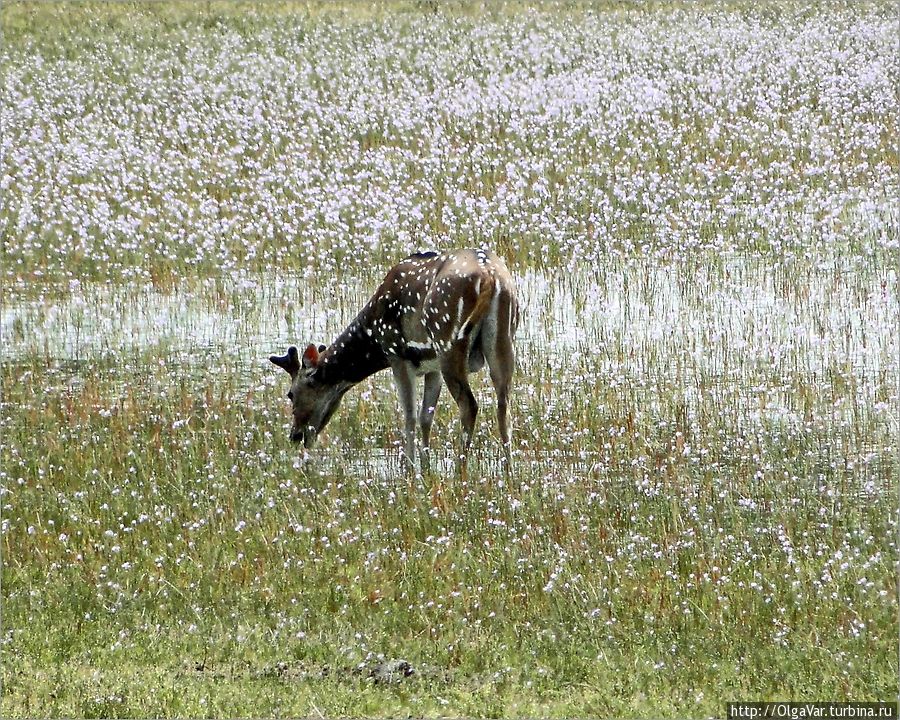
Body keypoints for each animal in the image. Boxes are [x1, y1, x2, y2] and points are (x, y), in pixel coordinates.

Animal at [268, 250, 520, 470]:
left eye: (291, 393)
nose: (295, 435)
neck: (373, 339)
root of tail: (490, 276)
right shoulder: (432, 366)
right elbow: (426, 416)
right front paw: (425, 467)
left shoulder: (396, 354)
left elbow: (409, 415)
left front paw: (409, 469)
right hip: (502, 339)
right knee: (503, 405)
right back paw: (509, 470)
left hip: (448, 340)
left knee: (470, 405)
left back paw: (461, 471)